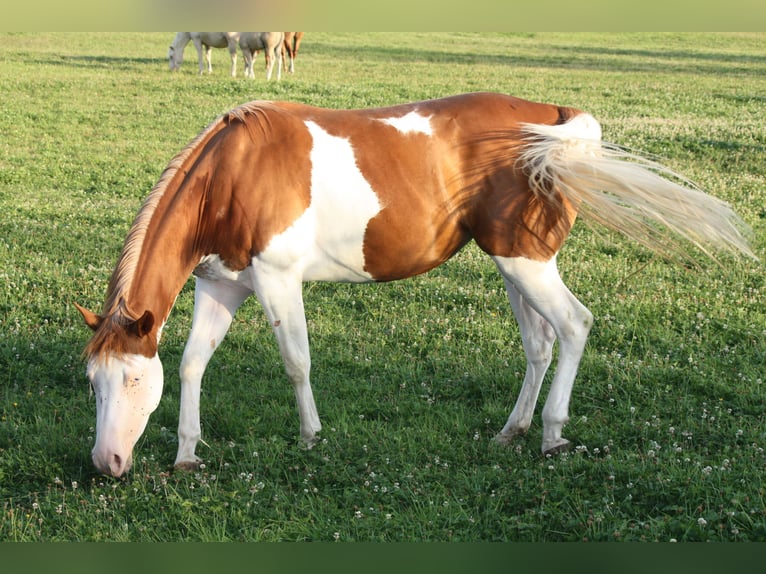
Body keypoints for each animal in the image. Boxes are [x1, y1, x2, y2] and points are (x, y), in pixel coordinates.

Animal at [75, 92, 754, 478]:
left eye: (130, 381)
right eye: (93, 382)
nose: (107, 464)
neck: (232, 172)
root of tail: (555, 121)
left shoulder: (277, 281)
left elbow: (296, 362)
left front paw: (311, 436)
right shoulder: (223, 286)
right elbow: (193, 364)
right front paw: (187, 453)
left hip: (527, 262)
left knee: (574, 326)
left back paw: (552, 434)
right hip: (513, 264)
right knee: (539, 344)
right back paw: (514, 430)